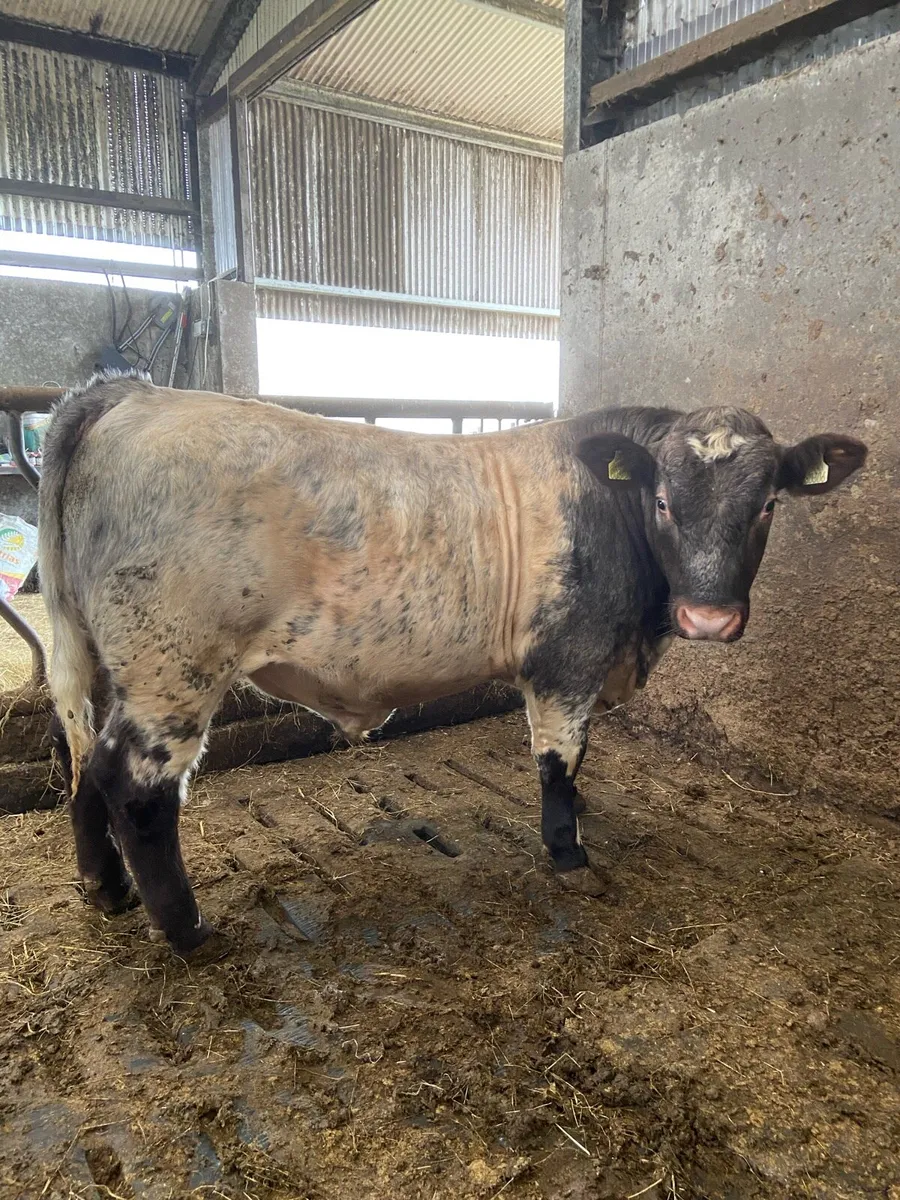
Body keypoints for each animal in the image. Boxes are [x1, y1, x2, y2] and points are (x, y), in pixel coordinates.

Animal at [38, 371, 867, 960]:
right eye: (663, 501)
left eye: (766, 505)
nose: (710, 617)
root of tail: (135, 393)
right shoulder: (566, 660)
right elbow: (560, 760)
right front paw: (569, 853)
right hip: (173, 666)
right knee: (133, 785)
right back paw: (187, 930)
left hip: (106, 660)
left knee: (85, 761)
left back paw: (104, 890)